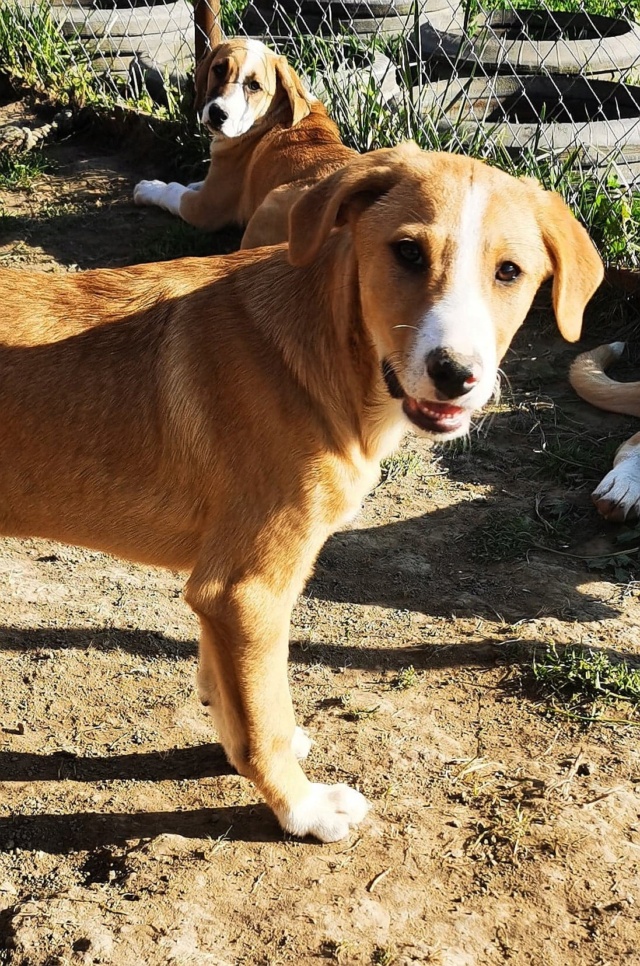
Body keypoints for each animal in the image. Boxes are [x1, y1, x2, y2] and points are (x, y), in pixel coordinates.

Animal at [0, 146, 604, 848]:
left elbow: (236, 693)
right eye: (407, 253)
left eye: (510, 272)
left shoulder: (222, 594)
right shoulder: (246, 591)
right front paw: (301, 807)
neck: (332, 354)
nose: (457, 375)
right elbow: (264, 715)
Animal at [133, 37, 358, 250]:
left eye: (254, 86)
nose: (217, 113)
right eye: (219, 69)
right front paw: (192, 183)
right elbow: (197, 182)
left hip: (265, 211)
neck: (274, 115)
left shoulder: (205, 207)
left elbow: (173, 190)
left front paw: (150, 188)